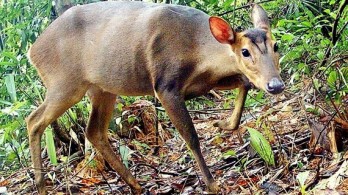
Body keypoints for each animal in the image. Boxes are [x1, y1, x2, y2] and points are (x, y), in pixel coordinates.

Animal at [26, 1, 282, 193]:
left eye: (276, 45)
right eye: (245, 51)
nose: (275, 84)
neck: (197, 50)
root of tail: (32, 51)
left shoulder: (205, 82)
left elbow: (245, 82)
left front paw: (223, 123)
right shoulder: (165, 84)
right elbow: (190, 136)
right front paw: (212, 185)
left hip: (102, 88)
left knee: (93, 131)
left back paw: (136, 184)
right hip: (65, 82)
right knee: (34, 121)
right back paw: (41, 185)